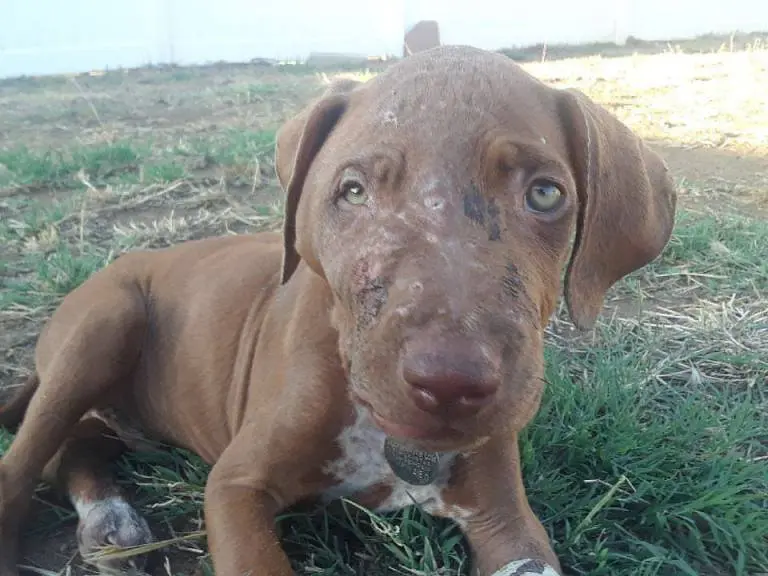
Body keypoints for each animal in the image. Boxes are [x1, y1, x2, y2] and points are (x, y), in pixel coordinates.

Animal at [0, 46, 676, 576]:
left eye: (545, 194)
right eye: (352, 191)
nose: (450, 383)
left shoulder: (504, 515)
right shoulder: (235, 485)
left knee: (75, 449)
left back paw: (108, 522)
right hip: (104, 324)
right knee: (26, 458)